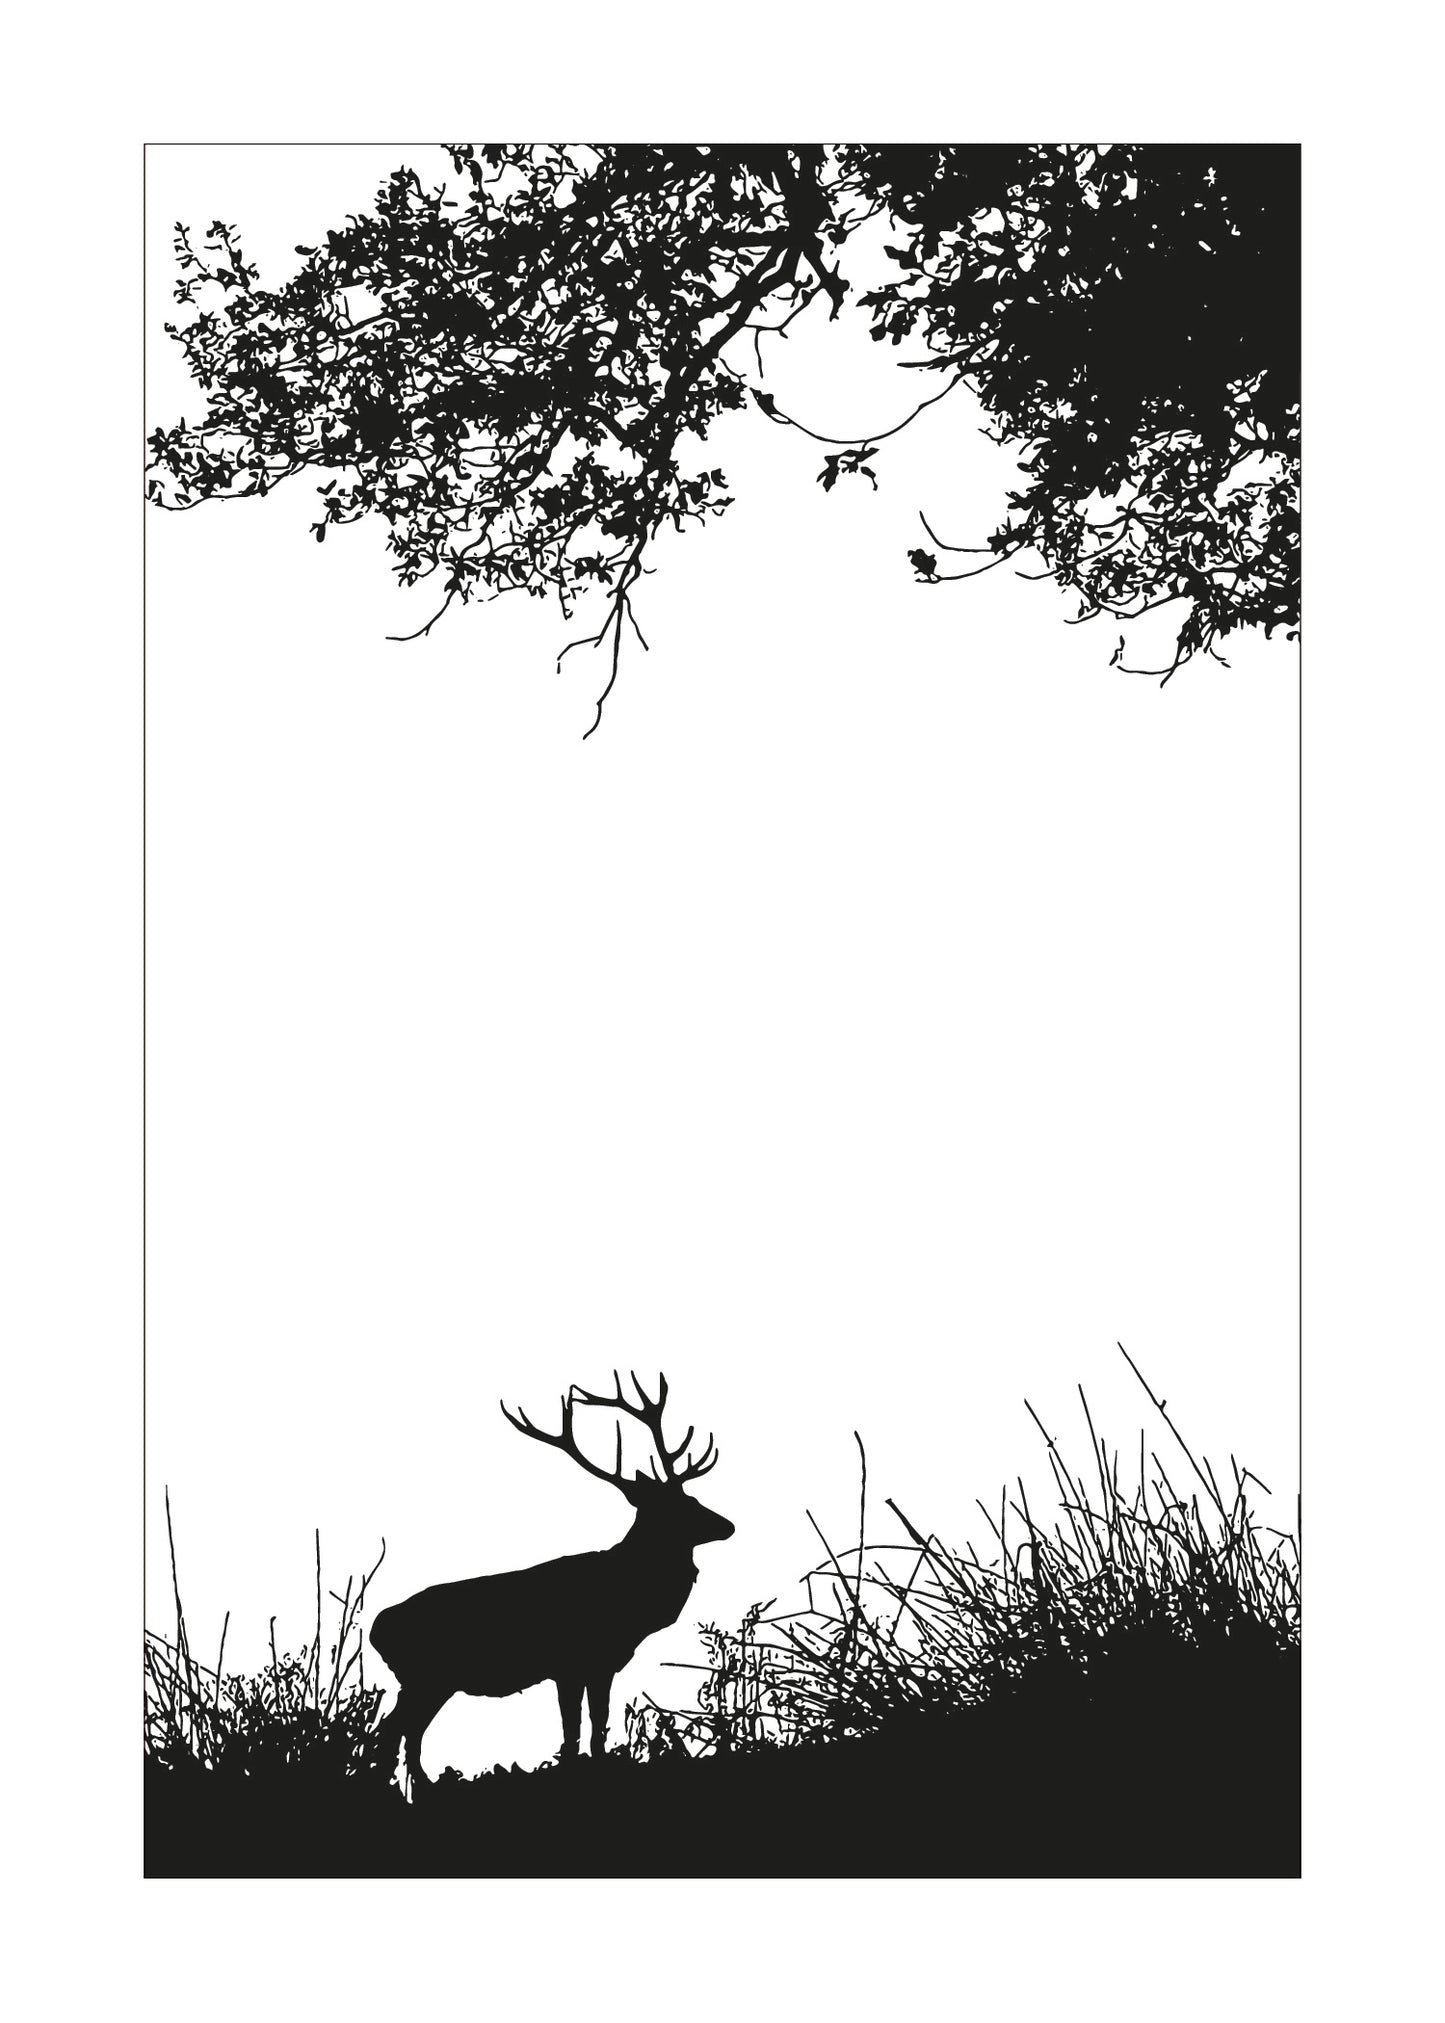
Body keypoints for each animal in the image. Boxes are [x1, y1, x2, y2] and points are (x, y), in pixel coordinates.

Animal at [368, 1371, 734, 1788]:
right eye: (683, 1506)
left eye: (694, 1498)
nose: (728, 1525)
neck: (633, 1603)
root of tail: (377, 1629)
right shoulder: (571, 1662)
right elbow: (574, 1729)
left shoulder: (598, 1664)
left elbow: (594, 1725)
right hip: (426, 1676)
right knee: (395, 1730)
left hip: (427, 1681)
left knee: (406, 1731)